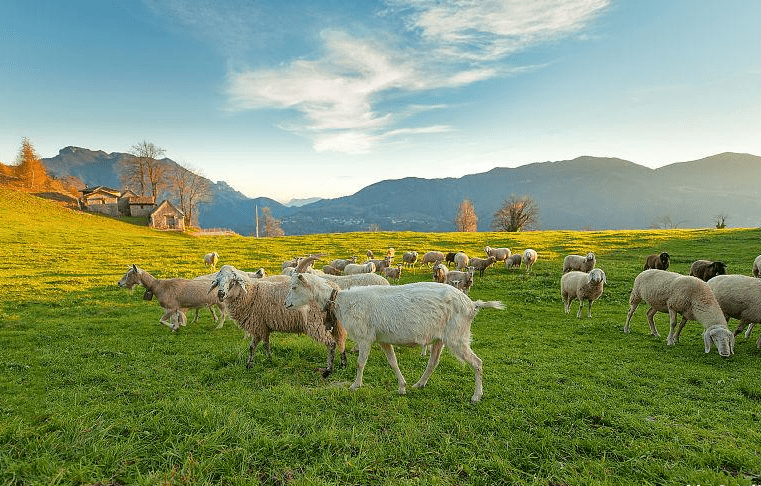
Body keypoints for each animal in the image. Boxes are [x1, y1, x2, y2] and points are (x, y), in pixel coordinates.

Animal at [209, 266, 348, 376]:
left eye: (232, 281)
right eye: (218, 281)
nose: (220, 294)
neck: (251, 294)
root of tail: (334, 288)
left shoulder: (258, 324)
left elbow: (257, 345)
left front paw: (259, 361)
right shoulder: (262, 326)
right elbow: (258, 345)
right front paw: (260, 361)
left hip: (316, 323)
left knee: (332, 343)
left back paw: (329, 370)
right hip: (336, 323)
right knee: (340, 341)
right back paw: (343, 364)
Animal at [284, 272, 504, 400]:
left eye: (294, 287)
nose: (286, 304)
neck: (342, 301)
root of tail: (472, 305)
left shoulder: (365, 337)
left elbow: (360, 363)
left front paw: (355, 385)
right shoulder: (383, 340)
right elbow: (393, 362)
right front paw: (402, 387)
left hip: (457, 336)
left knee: (477, 362)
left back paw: (476, 395)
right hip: (440, 338)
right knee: (433, 362)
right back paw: (419, 384)